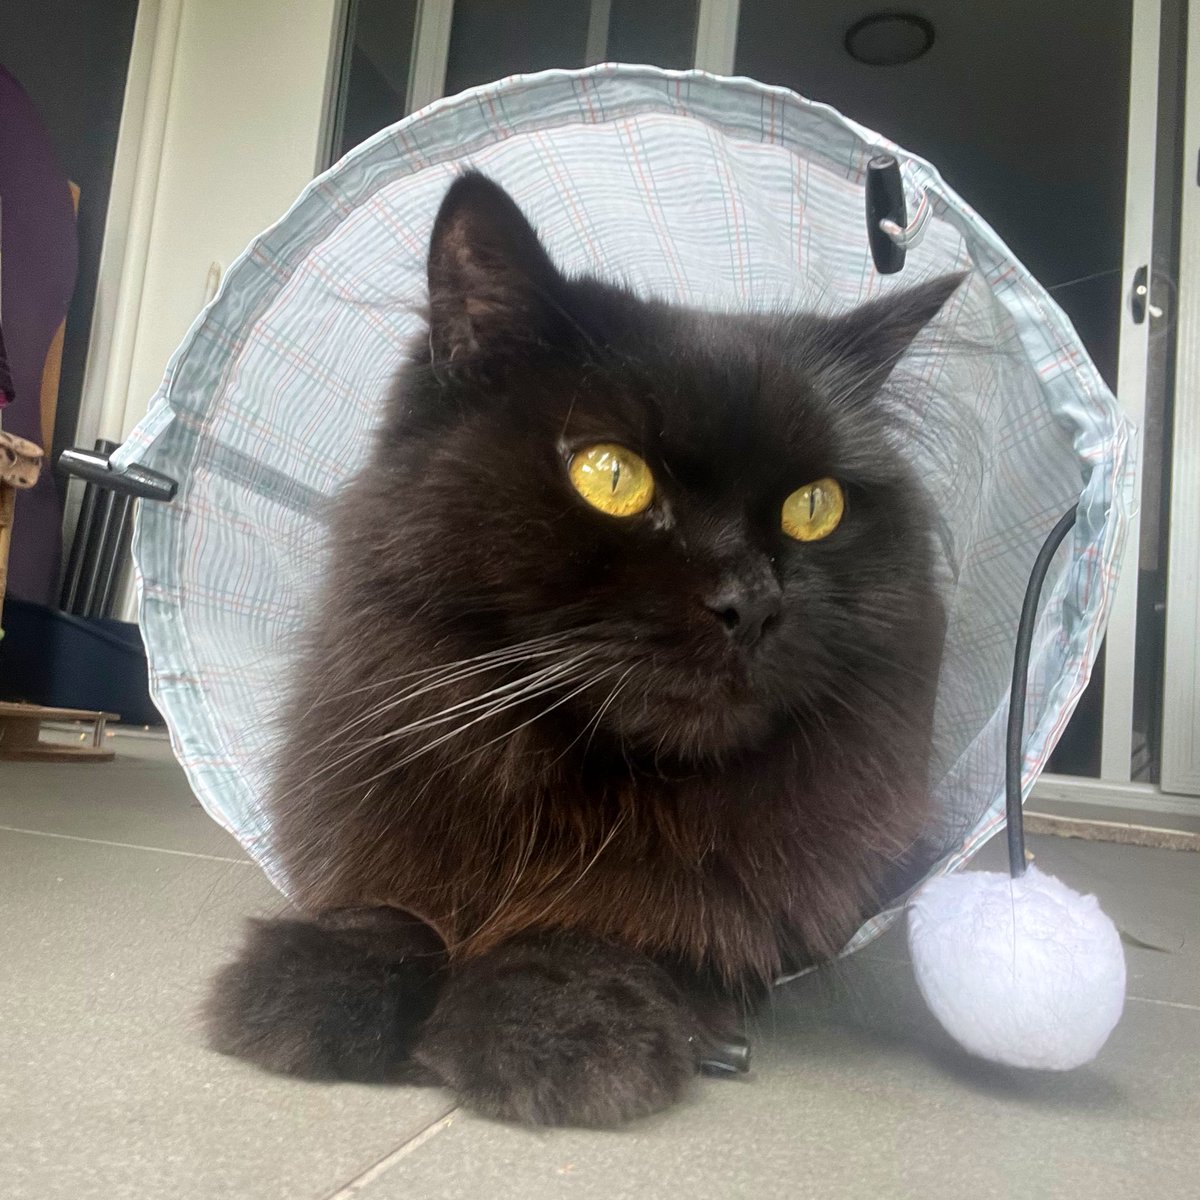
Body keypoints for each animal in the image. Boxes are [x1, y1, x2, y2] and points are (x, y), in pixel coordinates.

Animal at [204, 174, 955, 1128]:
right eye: (612, 476)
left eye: (814, 507)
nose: (750, 603)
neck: (586, 794)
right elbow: (393, 903)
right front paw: (322, 980)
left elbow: (605, 927)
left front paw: (550, 1025)